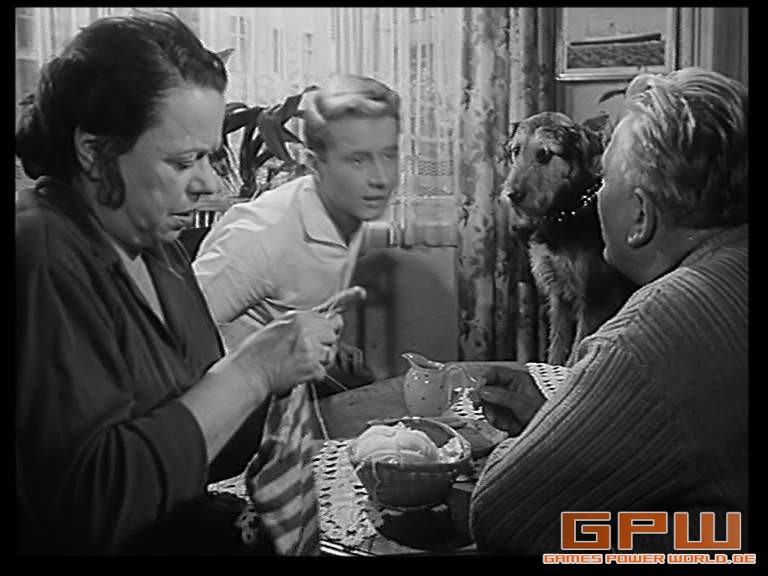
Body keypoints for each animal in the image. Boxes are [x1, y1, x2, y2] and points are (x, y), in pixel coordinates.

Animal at [502, 112, 636, 366]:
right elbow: (557, 344)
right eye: (515, 150)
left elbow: (577, 349)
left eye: (544, 154)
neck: (567, 210)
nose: (511, 195)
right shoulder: (558, 294)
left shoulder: (594, 297)